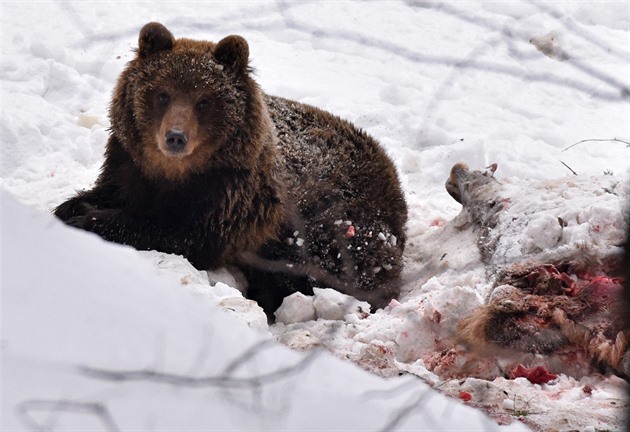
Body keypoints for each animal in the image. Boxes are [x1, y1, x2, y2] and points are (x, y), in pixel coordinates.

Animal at [55, 22, 410, 314]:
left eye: (204, 100)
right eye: (162, 94)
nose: (175, 137)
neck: (175, 174)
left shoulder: (230, 197)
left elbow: (181, 233)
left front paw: (90, 220)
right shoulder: (129, 165)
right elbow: (108, 192)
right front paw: (71, 208)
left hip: (333, 222)